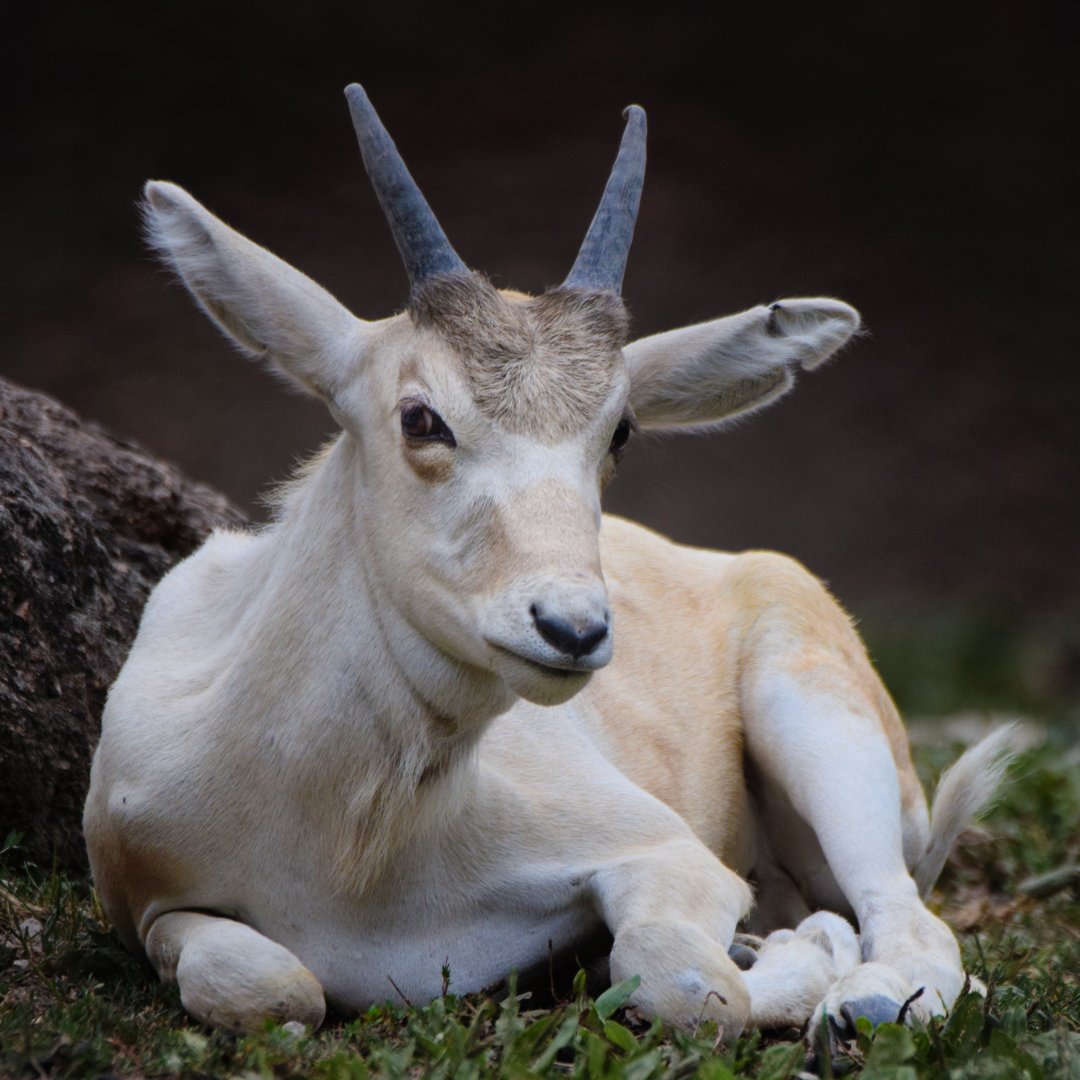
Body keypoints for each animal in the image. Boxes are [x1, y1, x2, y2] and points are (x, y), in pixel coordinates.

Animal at [83, 84, 1011, 1044]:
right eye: (420, 416)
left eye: (621, 429)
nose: (573, 629)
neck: (350, 846)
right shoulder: (143, 900)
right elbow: (265, 984)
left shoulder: (667, 853)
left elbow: (686, 981)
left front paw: (796, 955)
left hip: (820, 730)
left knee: (910, 920)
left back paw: (865, 994)